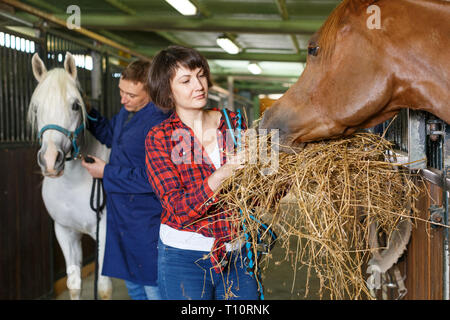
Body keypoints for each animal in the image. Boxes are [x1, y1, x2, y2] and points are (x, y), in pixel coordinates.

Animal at [28, 51, 112, 298]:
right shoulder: (66, 233)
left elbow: (103, 287)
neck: (73, 185)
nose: (50, 160)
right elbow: (74, 283)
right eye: (36, 108)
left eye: (75, 105)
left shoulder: (105, 234)